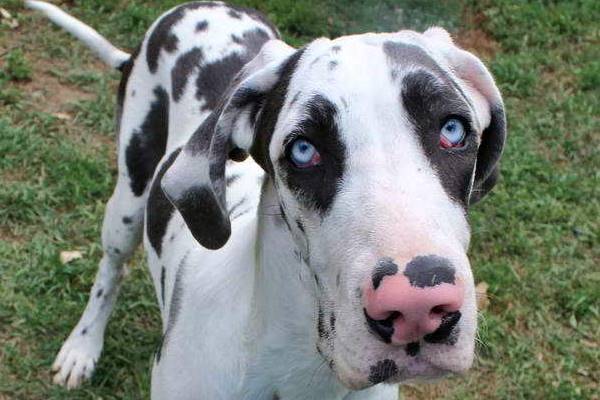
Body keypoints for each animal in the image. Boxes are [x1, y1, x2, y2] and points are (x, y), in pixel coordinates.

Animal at [28, 1, 506, 398]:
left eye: (452, 129)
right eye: (303, 149)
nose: (416, 305)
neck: (301, 372)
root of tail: (192, 7)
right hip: (127, 203)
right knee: (110, 271)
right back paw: (82, 347)